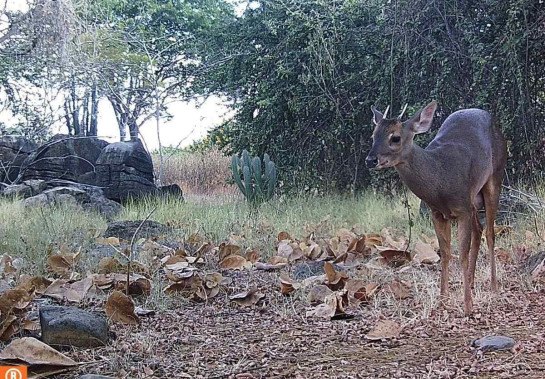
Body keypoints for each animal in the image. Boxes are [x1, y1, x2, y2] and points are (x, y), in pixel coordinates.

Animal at [366, 100, 506, 314]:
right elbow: (445, 253)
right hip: (473, 198)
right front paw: (443, 299)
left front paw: (468, 305)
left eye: (395, 137)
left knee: (490, 233)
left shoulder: (462, 208)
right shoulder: (437, 212)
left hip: (495, 177)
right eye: (373, 135)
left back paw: (493, 285)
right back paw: (471, 281)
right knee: (479, 229)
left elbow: (462, 254)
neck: (440, 178)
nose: (370, 160)